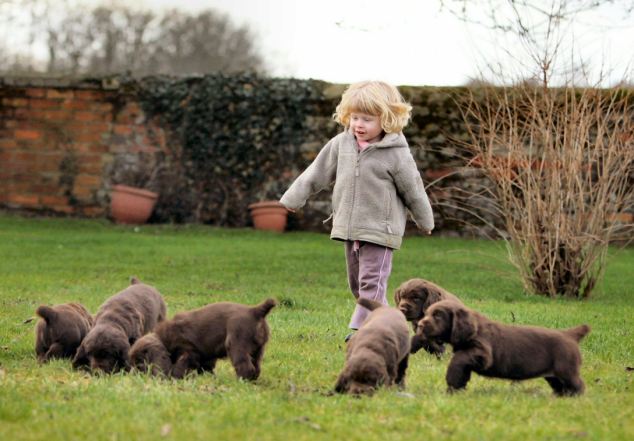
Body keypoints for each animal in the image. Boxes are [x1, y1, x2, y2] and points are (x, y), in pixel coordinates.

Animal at [420, 300, 588, 396]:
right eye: (426, 313)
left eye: (438, 315)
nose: (420, 325)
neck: (475, 328)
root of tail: (569, 334)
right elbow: (461, 373)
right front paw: (454, 390)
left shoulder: (482, 352)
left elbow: (458, 360)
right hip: (553, 375)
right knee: (560, 386)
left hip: (566, 369)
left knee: (577, 385)